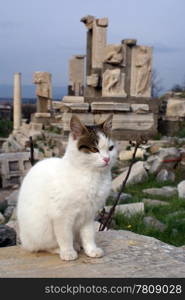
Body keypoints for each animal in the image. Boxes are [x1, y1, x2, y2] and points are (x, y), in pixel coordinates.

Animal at [16, 115, 116, 260]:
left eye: (111, 148)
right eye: (94, 149)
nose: (107, 159)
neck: (91, 175)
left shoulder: (89, 215)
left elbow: (88, 235)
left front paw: (91, 250)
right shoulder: (61, 216)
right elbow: (65, 236)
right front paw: (68, 252)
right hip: (41, 230)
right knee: (42, 246)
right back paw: (62, 249)